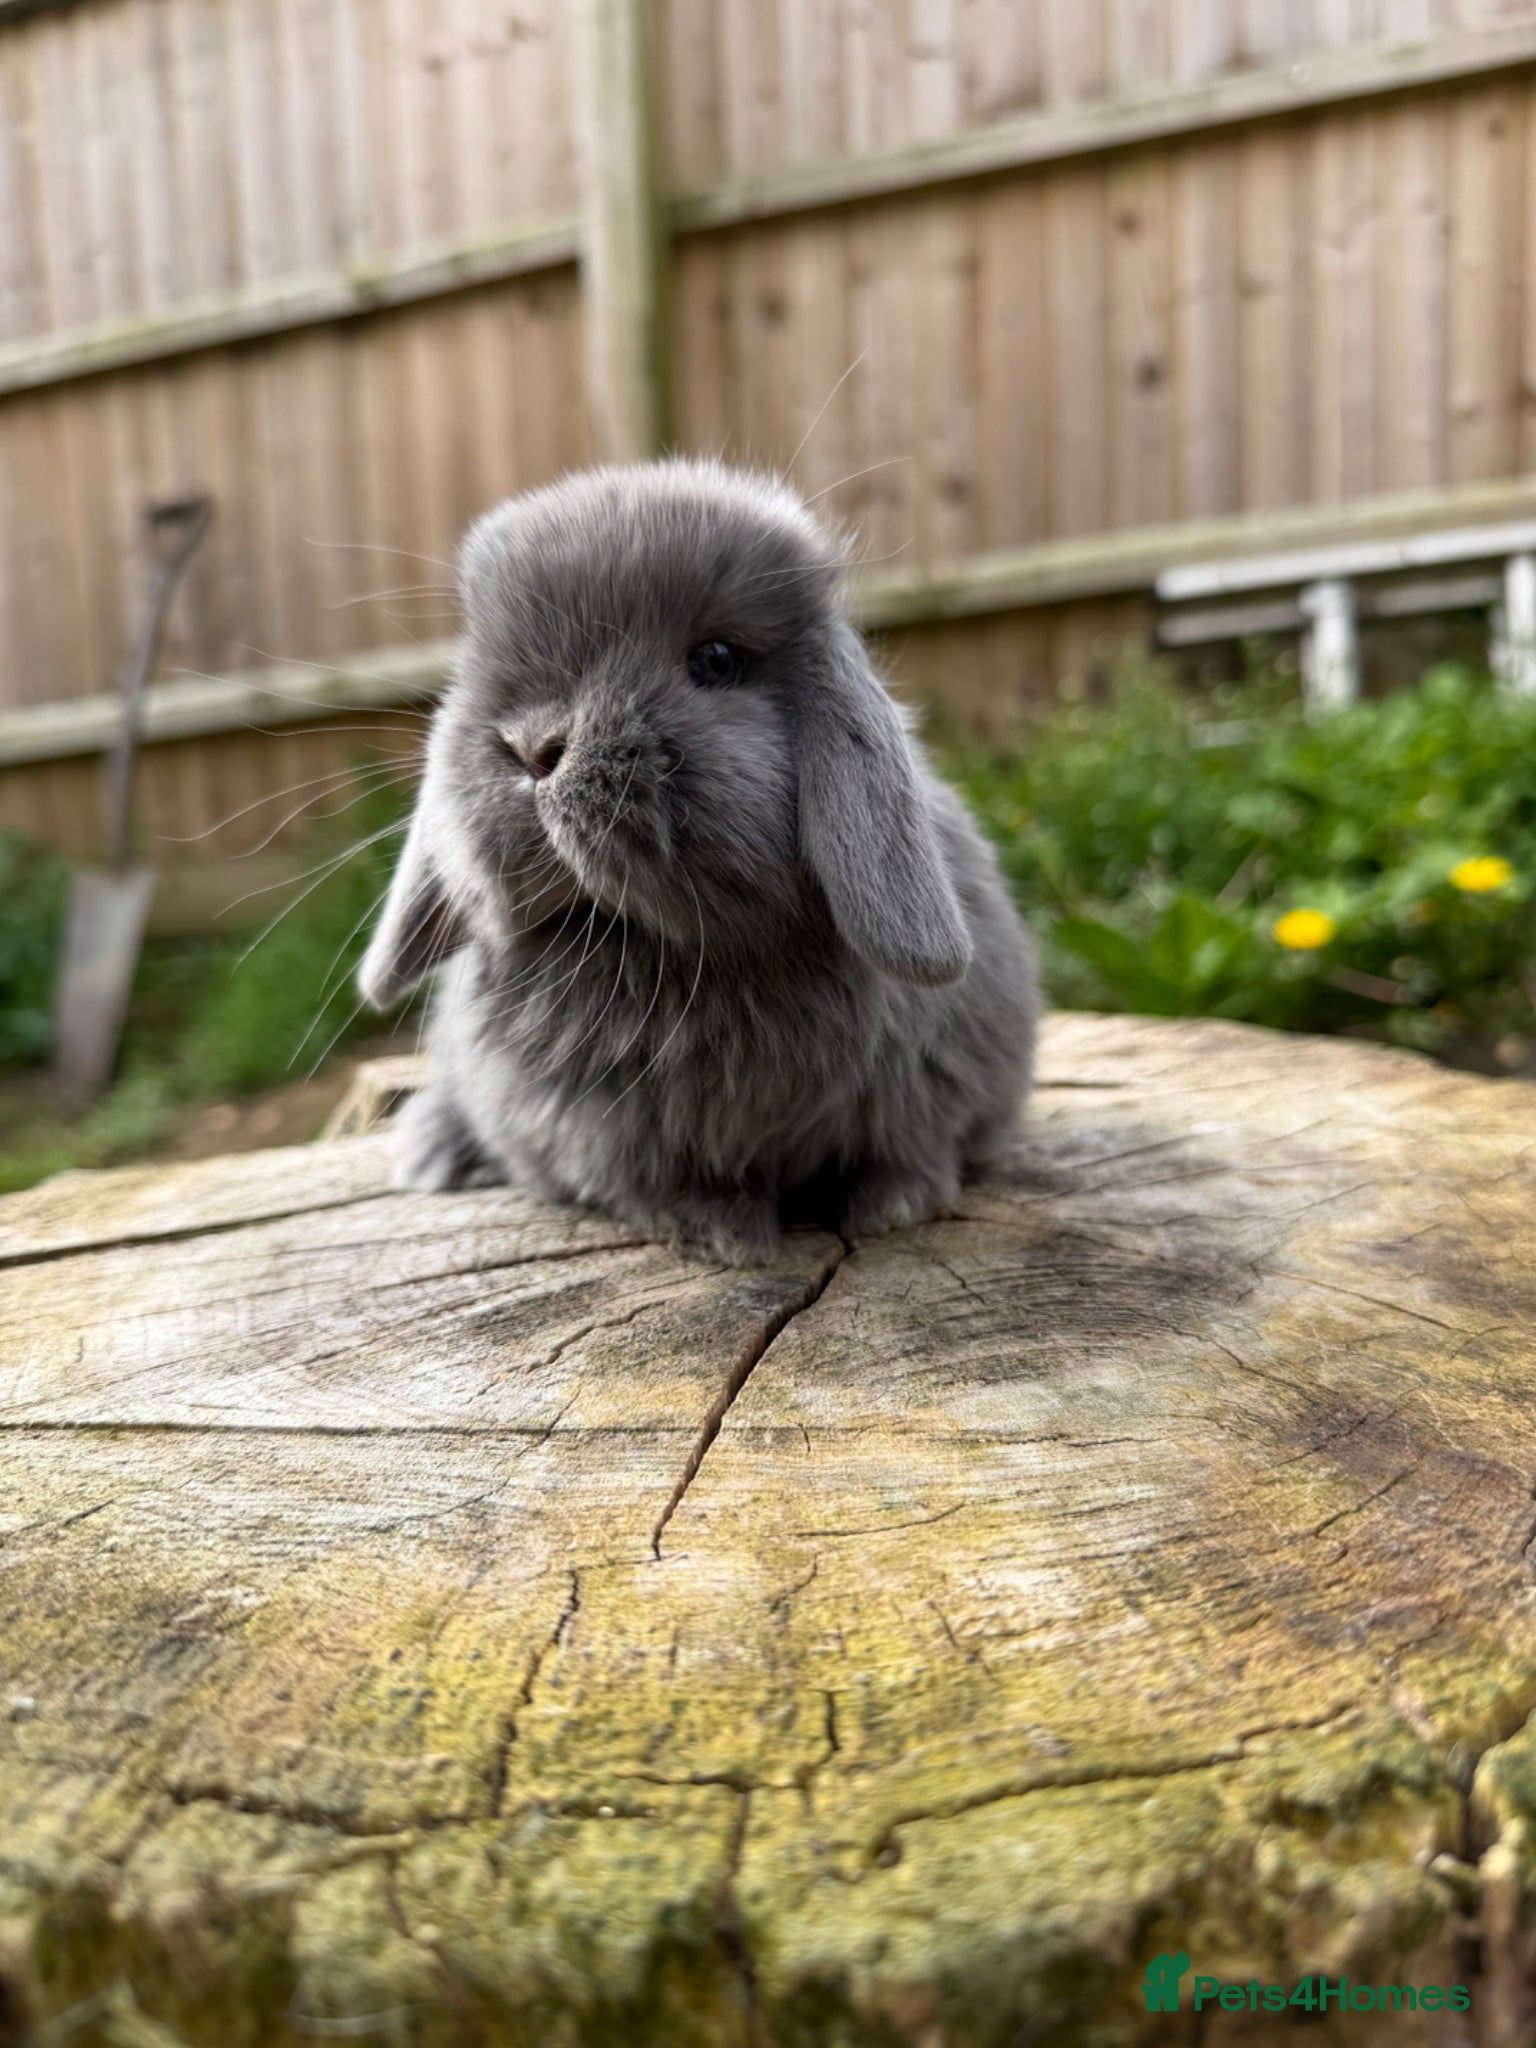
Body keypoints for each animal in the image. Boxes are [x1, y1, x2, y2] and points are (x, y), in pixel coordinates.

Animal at [359, 458, 1037, 1266]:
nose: (530, 746)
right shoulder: (597, 1138)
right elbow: (665, 1186)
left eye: (715, 660)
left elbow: (908, 1154)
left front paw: (893, 1209)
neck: (671, 950)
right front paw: (723, 1237)